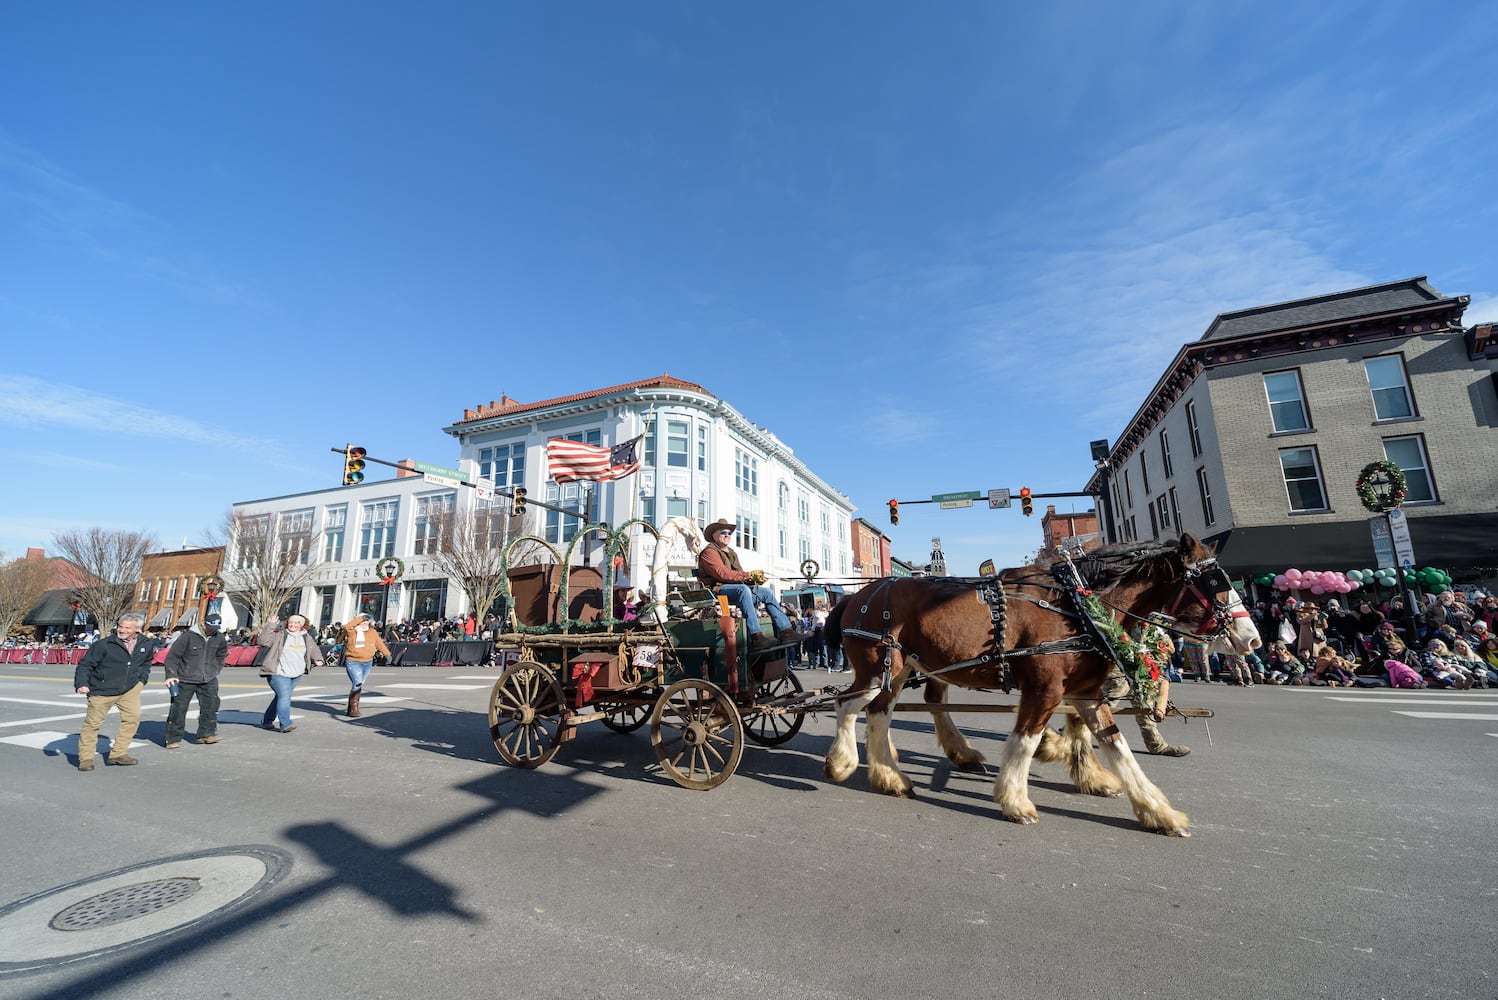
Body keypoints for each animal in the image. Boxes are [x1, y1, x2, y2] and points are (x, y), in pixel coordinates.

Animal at [820, 529, 1264, 838]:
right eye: (1215, 582)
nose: (1253, 640)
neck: (1077, 606)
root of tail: (858, 595)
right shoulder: (1045, 689)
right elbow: (1025, 741)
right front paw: (1016, 800)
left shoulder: (1086, 693)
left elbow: (1117, 748)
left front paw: (1158, 811)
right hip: (878, 668)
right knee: (847, 705)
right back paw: (843, 762)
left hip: (898, 671)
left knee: (881, 714)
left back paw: (890, 776)